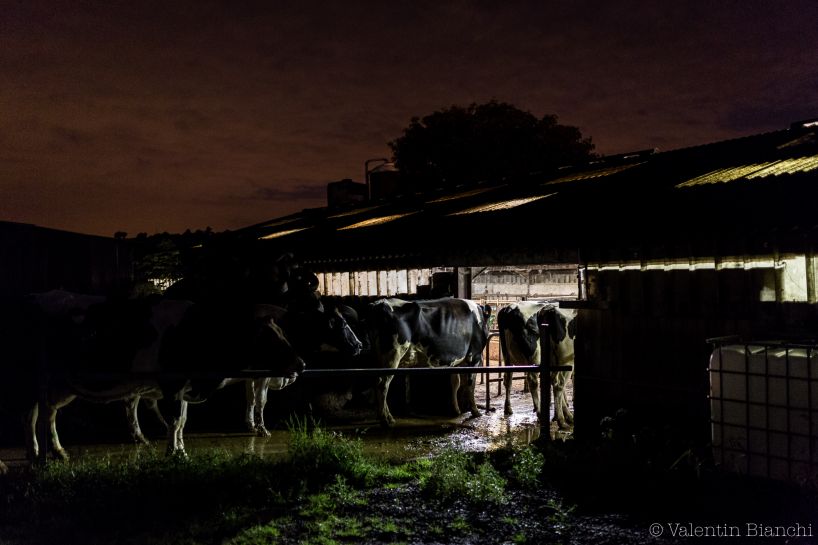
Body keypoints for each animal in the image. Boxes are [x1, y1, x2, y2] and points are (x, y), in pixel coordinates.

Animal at [364, 296, 490, 428]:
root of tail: (380, 303)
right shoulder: (475, 356)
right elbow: (470, 385)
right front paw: (475, 411)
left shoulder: (458, 361)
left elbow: (455, 383)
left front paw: (456, 410)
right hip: (393, 354)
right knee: (383, 384)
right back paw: (386, 419)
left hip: (378, 355)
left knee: (377, 382)